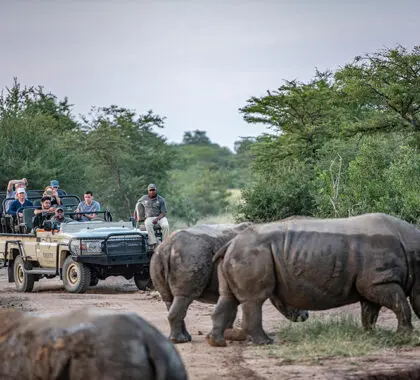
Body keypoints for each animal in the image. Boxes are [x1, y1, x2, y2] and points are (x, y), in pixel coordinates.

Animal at [151, 223, 308, 344]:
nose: (305, 316)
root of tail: (168, 246)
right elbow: (232, 310)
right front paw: (230, 334)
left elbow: (231, 310)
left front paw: (227, 333)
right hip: (189, 254)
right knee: (185, 296)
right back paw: (180, 341)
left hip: (158, 257)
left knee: (170, 299)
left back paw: (182, 339)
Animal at [206, 212, 420, 346]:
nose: (304, 315)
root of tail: (230, 242)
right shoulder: (379, 280)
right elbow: (401, 304)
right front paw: (406, 336)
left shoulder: (374, 282)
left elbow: (370, 311)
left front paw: (370, 334)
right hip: (251, 252)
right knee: (254, 300)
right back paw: (265, 343)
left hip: (239, 253)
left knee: (228, 297)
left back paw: (216, 342)